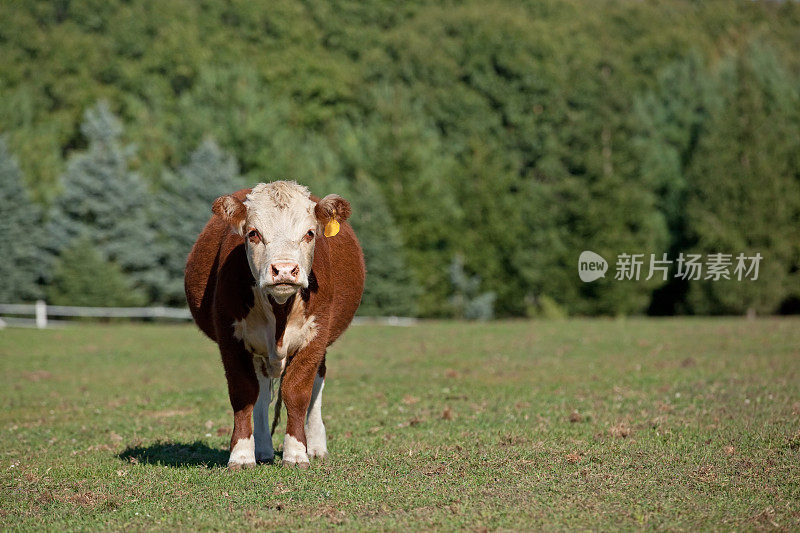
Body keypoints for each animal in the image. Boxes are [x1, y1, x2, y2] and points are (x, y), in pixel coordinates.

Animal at [184, 181, 366, 468]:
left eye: (310, 233)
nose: (284, 270)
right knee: (260, 392)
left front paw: (297, 453)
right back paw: (262, 449)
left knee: (317, 383)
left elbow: (298, 392)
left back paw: (316, 446)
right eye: (253, 233)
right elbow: (244, 392)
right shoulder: (230, 338)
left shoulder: (315, 337)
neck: (279, 311)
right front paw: (241, 454)